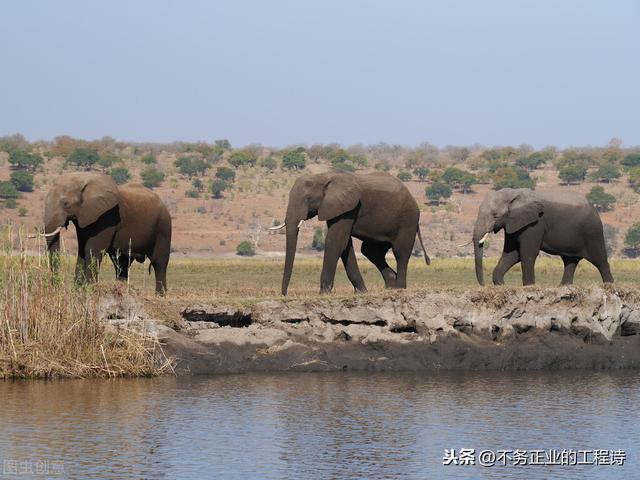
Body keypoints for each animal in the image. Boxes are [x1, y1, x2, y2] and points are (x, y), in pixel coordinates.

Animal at [42, 172, 172, 292]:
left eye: (66, 204)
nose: (56, 288)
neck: (83, 179)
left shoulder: (107, 217)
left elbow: (93, 250)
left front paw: (89, 288)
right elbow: (82, 250)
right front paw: (78, 289)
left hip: (164, 227)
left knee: (159, 262)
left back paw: (160, 295)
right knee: (121, 263)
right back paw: (121, 288)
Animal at [270, 171, 430, 294]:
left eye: (308, 199)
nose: (284, 294)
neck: (324, 176)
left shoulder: (347, 207)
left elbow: (335, 241)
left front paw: (324, 293)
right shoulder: (336, 208)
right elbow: (345, 244)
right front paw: (361, 292)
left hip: (408, 220)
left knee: (400, 251)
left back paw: (399, 288)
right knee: (371, 251)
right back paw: (391, 285)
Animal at [468, 188, 612, 284]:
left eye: (495, 215)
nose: (483, 285)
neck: (513, 193)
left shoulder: (535, 224)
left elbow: (527, 253)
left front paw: (529, 286)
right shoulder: (514, 224)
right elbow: (512, 254)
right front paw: (501, 285)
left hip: (593, 232)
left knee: (600, 261)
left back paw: (609, 286)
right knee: (570, 261)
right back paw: (564, 287)